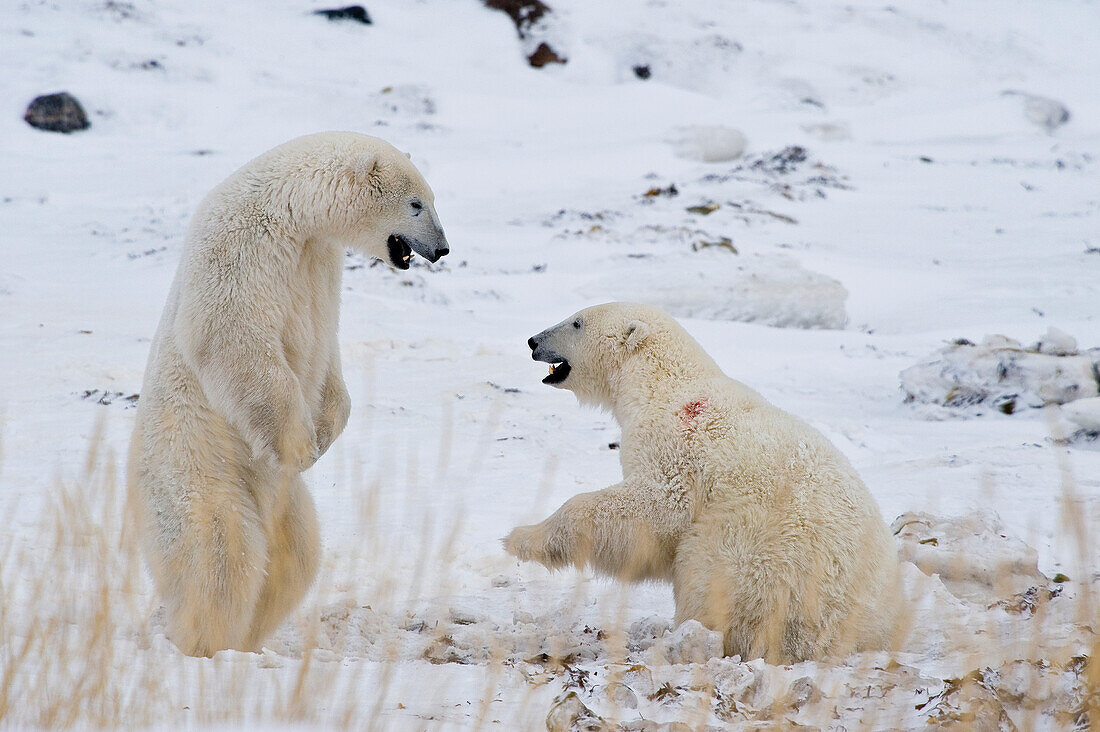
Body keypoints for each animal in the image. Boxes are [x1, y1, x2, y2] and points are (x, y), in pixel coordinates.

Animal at [129, 131, 451, 656]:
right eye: (416, 203)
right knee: (220, 554)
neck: (291, 209)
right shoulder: (242, 250)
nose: (442, 249)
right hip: (198, 468)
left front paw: (322, 435)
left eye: (430, 199)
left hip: (280, 499)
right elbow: (235, 336)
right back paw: (203, 642)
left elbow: (325, 347)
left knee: (293, 559)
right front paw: (299, 445)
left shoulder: (318, 263)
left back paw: (250, 638)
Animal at [506, 301, 902, 660]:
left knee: (711, 577)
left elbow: (652, 511)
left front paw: (521, 538)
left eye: (577, 322)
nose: (533, 341)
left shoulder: (673, 448)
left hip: (765, 557)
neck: (661, 381)